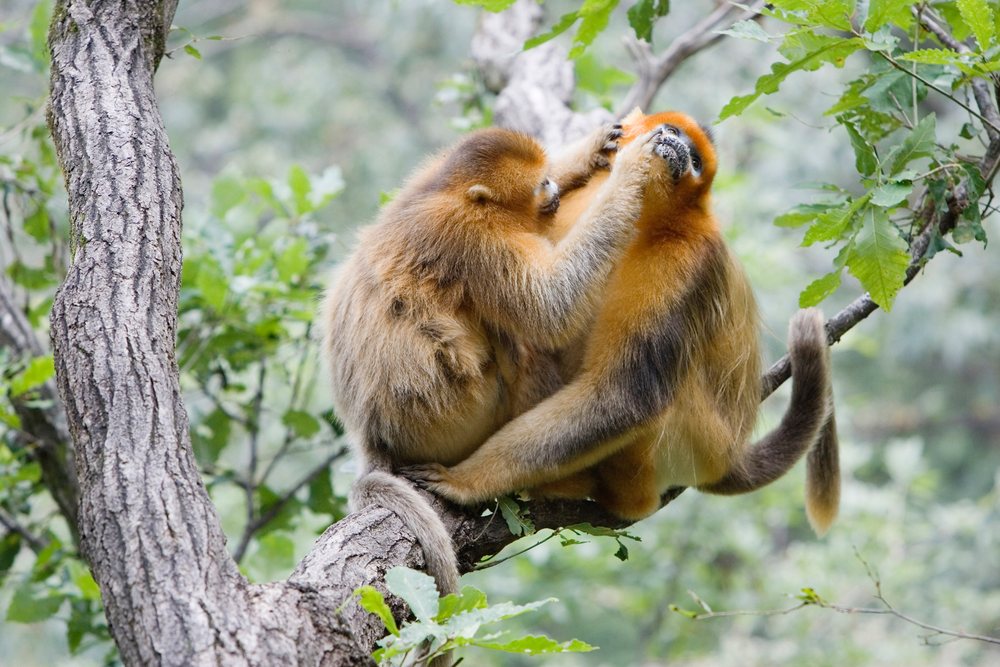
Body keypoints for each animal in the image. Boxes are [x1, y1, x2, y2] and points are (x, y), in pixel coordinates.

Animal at [319, 123, 665, 599]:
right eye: (539, 186)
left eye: (546, 176)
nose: (552, 187)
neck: (457, 197)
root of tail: (373, 435)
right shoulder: (473, 237)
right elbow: (551, 309)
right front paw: (632, 172)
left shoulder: (425, 182)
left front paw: (589, 151)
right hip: (454, 422)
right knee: (517, 344)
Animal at [403, 110, 841, 536]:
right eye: (671, 130)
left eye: (695, 160)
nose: (677, 145)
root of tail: (728, 454)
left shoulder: (685, 256)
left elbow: (626, 394)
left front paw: (466, 481)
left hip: (695, 441)